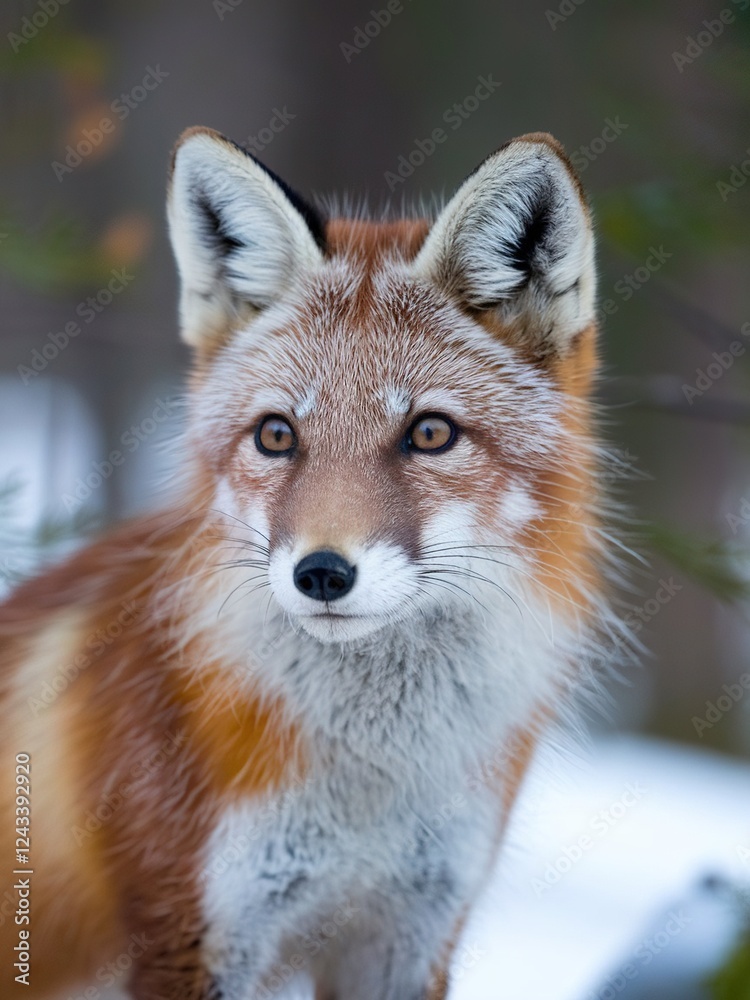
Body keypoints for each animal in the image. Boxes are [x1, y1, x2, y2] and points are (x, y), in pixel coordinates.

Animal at [0, 127, 627, 1000]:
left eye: (430, 433)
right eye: (276, 435)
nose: (322, 574)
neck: (367, 792)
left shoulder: (408, 933)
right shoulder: (190, 932)